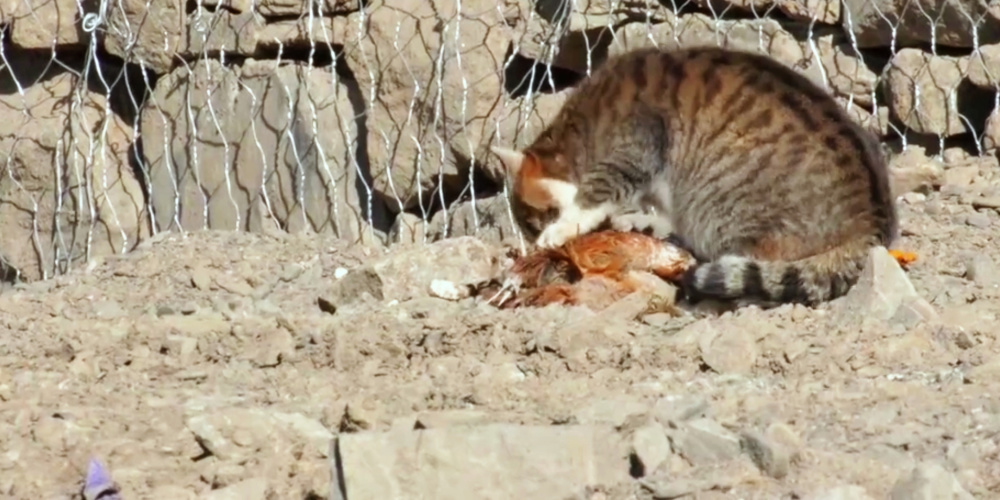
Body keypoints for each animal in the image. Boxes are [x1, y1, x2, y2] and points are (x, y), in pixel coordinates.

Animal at [492, 45, 900, 306]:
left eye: (534, 219)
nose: (532, 242)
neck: (581, 130)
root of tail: (871, 224)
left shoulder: (634, 149)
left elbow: (591, 196)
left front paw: (559, 230)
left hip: (732, 213)